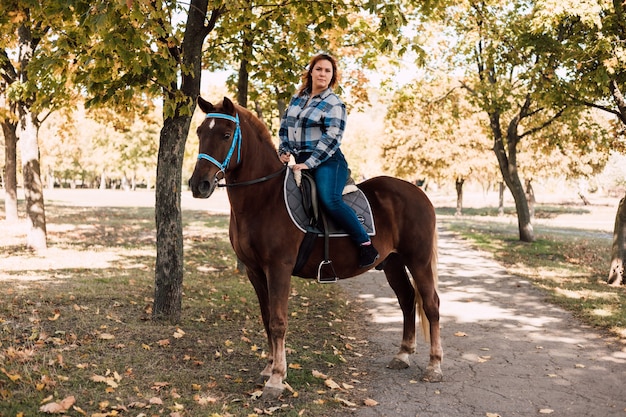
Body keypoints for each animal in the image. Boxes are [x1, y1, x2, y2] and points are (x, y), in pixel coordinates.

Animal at [188, 96, 442, 398]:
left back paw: (434, 366)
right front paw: (269, 368)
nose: (198, 185)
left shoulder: (279, 269)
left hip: (418, 261)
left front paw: (276, 379)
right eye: (199, 133)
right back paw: (402, 355)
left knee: (431, 304)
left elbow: (278, 321)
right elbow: (266, 318)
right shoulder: (254, 271)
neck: (264, 198)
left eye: (226, 135)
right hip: (391, 262)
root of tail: (418, 192)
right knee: (406, 299)